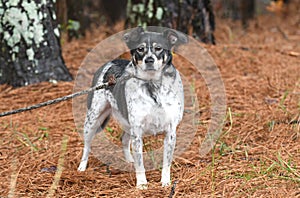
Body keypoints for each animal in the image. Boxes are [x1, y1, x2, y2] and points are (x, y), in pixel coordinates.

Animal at [78, 26, 189, 189]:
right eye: (140, 49)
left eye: (158, 48)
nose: (149, 60)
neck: (153, 85)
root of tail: (110, 62)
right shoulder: (137, 131)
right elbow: (140, 162)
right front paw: (142, 183)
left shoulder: (170, 132)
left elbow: (166, 162)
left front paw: (165, 181)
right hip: (92, 119)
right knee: (87, 145)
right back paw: (82, 167)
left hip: (125, 123)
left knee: (124, 139)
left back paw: (129, 160)